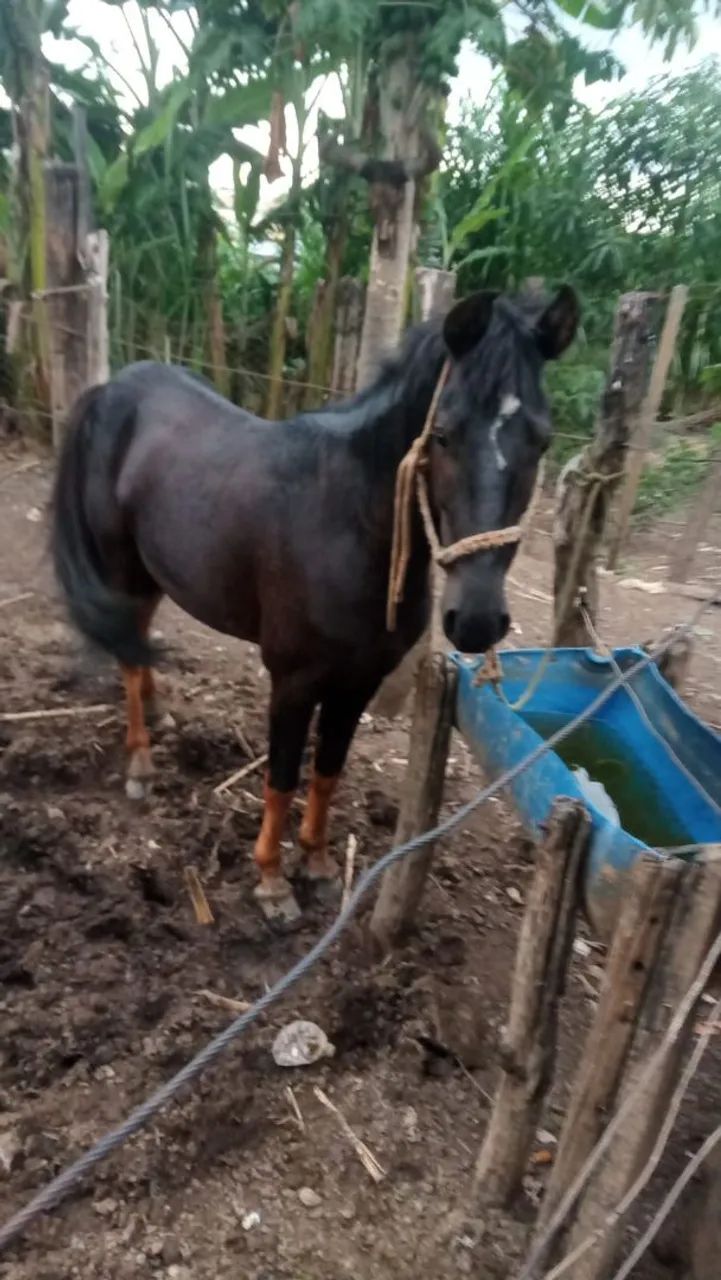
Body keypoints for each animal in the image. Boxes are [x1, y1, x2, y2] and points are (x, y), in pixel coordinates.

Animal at [51, 286, 579, 914]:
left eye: (542, 440)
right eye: (444, 434)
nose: (475, 619)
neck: (347, 524)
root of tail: (112, 390)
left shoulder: (360, 681)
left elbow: (328, 771)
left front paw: (320, 864)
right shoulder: (294, 680)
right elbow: (281, 777)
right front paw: (272, 881)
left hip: (154, 570)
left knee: (137, 643)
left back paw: (158, 714)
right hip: (121, 566)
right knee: (130, 657)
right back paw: (140, 764)